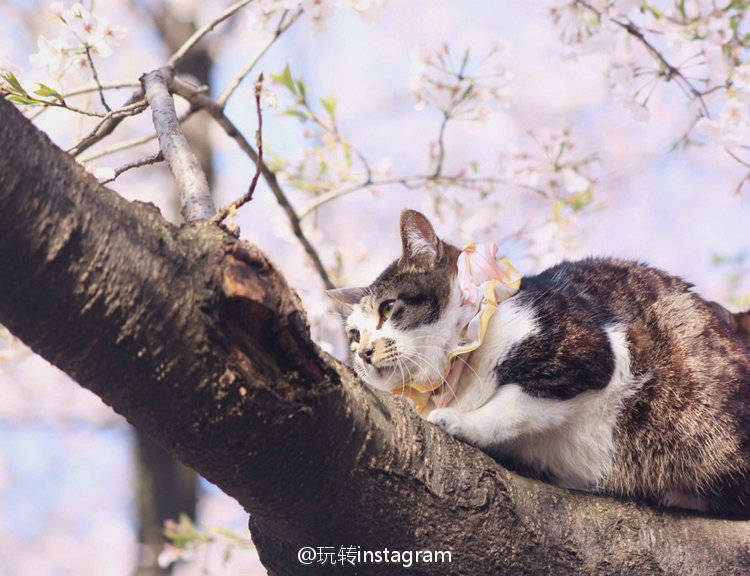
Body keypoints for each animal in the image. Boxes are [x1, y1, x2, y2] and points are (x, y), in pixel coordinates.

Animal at [328, 209, 750, 516]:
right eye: (354, 335)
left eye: (388, 308)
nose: (363, 353)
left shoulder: (592, 352)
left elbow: (518, 403)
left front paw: (461, 422)